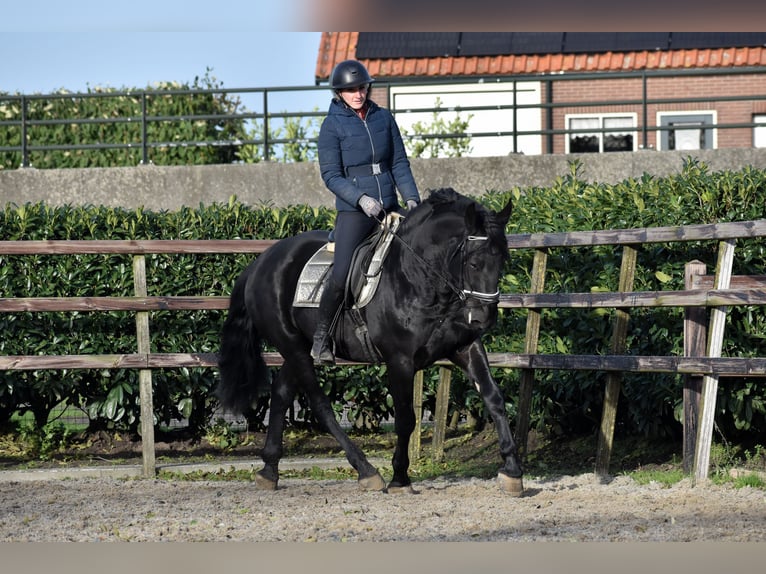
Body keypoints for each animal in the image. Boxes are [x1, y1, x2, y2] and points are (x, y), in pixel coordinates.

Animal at [218, 189, 528, 496]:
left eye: (503, 260)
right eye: (474, 263)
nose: (484, 318)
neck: (419, 278)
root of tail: (260, 262)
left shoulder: (465, 347)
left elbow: (494, 398)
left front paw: (512, 471)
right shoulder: (399, 360)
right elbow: (406, 419)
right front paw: (400, 478)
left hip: (297, 350)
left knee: (281, 392)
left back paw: (269, 470)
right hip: (294, 348)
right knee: (320, 405)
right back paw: (366, 470)